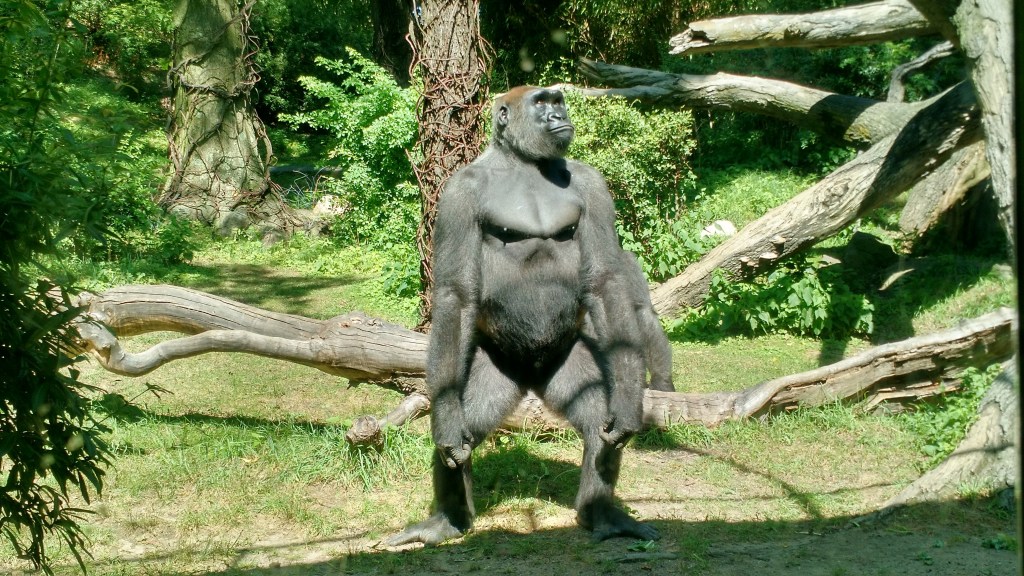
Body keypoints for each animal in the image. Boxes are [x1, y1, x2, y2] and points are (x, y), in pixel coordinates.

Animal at [387, 86, 660, 546]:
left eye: (558, 102)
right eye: (540, 104)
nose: (558, 117)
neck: (521, 162)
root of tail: (532, 378)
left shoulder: (592, 184)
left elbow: (605, 281)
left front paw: (627, 404)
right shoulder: (458, 192)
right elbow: (456, 295)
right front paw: (447, 430)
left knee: (596, 429)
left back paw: (601, 514)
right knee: (462, 430)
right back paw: (448, 520)